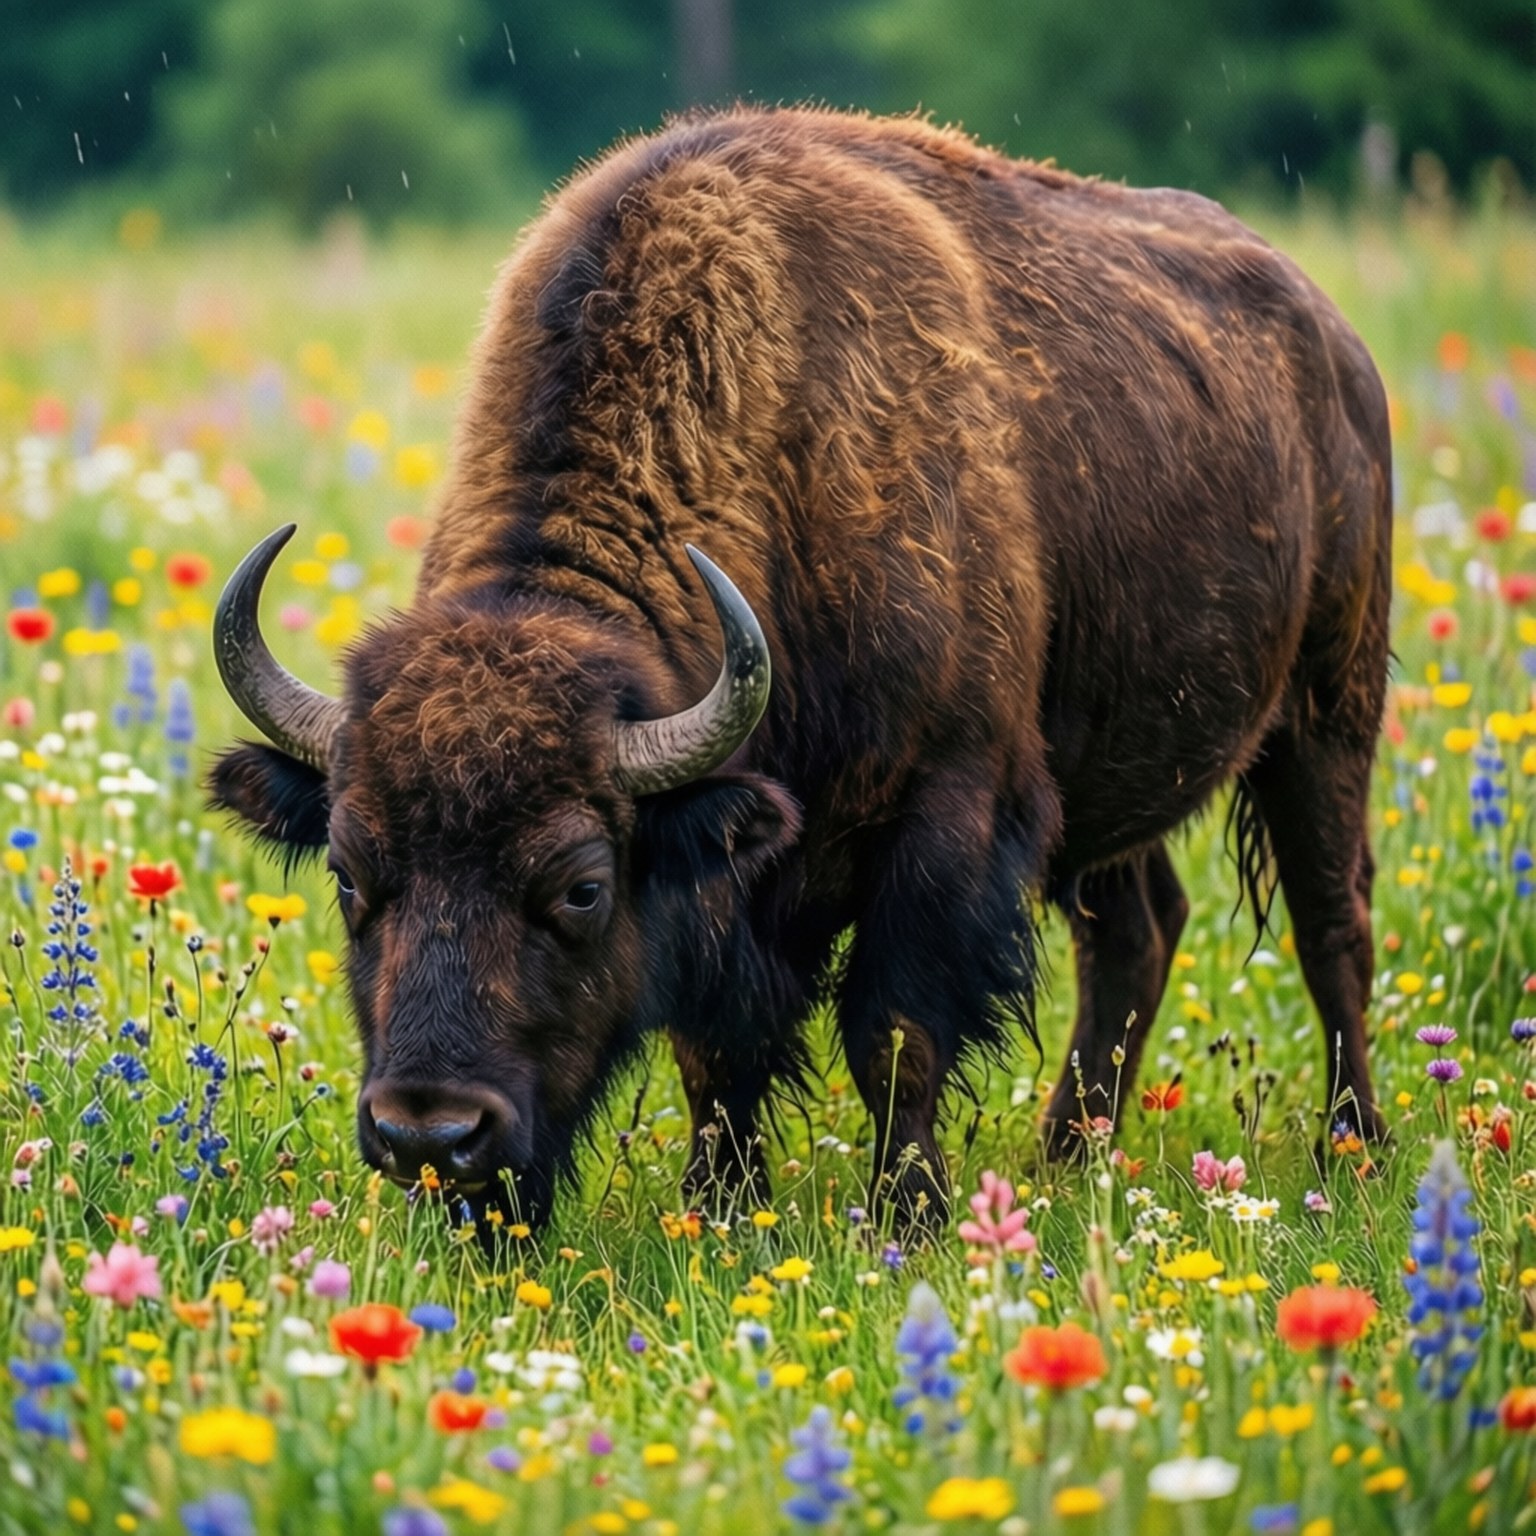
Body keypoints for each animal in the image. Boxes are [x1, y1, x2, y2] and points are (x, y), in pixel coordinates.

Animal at [211, 107, 1391, 1231]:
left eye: (582, 886)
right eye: (348, 872)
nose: (431, 1135)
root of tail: (1337, 344)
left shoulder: (949, 813)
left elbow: (895, 1037)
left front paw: (908, 1217)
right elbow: (717, 1056)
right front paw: (719, 1208)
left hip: (1328, 714)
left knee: (1331, 925)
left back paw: (1355, 1149)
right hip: (1106, 784)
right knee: (1138, 931)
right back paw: (1071, 1157)